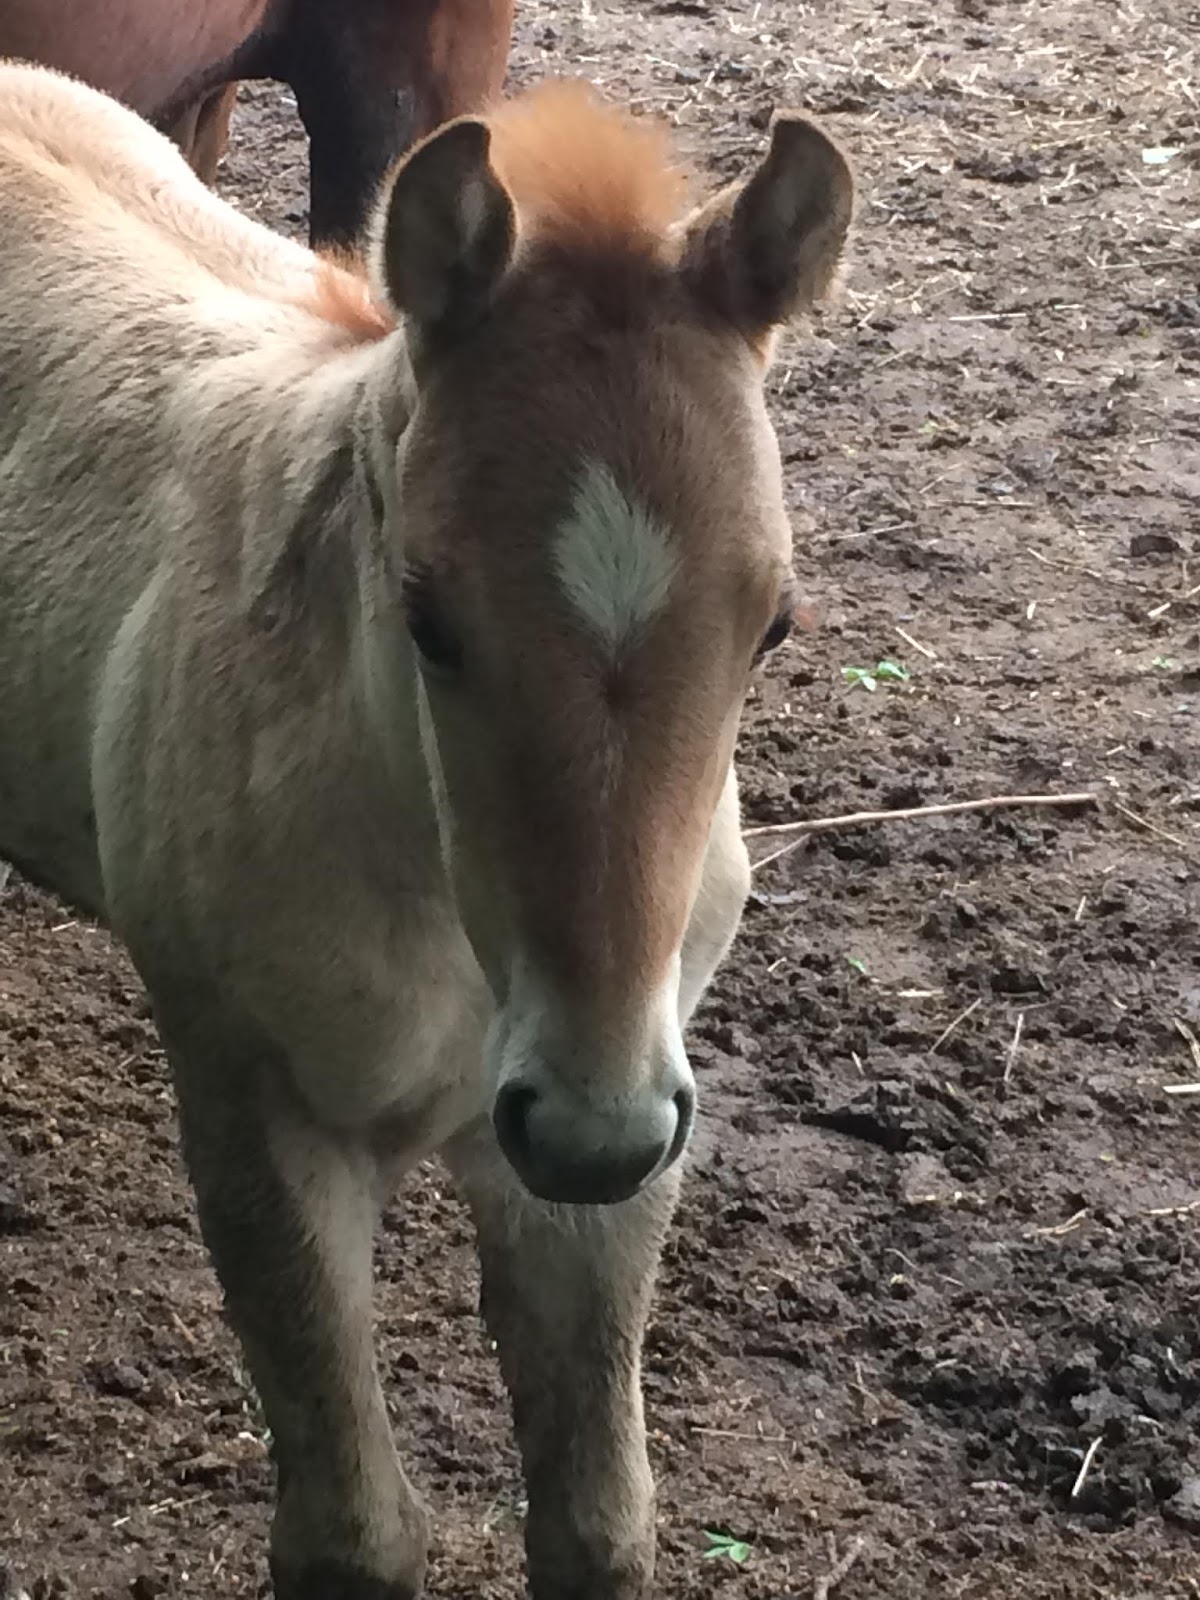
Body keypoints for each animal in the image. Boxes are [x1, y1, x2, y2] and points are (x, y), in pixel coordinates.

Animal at [0, 61, 853, 1599]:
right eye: (428, 616)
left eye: (774, 621)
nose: (582, 1122)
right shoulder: (260, 1112)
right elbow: (355, 1533)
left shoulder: (618, 1136)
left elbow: (599, 1523)